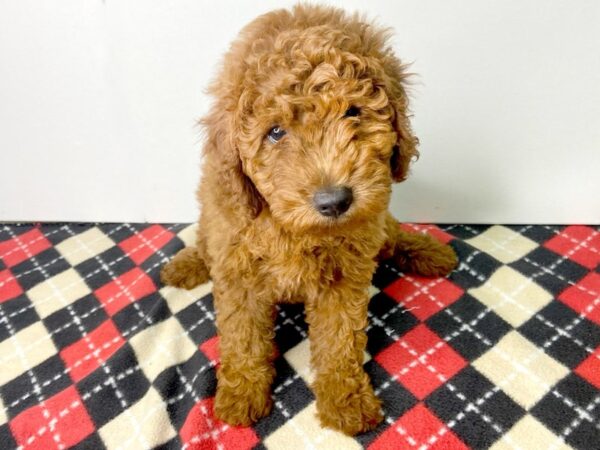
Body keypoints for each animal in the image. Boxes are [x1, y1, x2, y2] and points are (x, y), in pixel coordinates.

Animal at [162, 3, 458, 436]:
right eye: (275, 133)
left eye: (353, 112)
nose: (335, 201)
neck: (294, 228)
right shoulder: (238, 268)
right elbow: (242, 336)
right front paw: (241, 393)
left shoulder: (345, 276)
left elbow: (340, 339)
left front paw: (345, 399)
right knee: (203, 243)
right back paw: (185, 265)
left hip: (377, 222)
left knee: (390, 232)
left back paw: (429, 252)